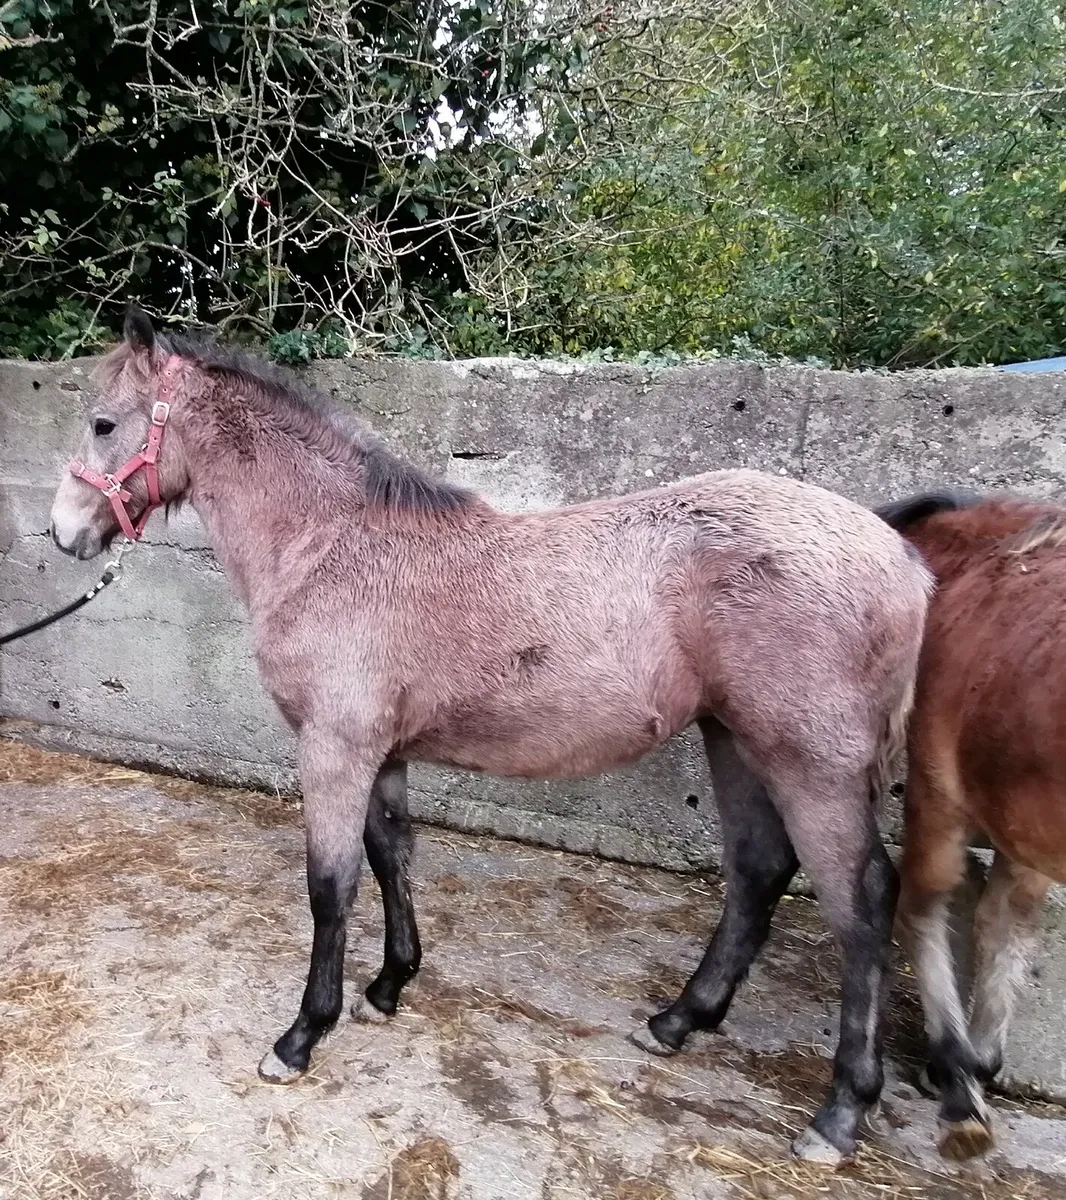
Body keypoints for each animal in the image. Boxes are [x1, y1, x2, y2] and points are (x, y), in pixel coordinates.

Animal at [48, 306, 931, 1165]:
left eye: (103, 423)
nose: (63, 534)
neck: (333, 542)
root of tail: (904, 558)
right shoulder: (381, 753)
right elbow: (391, 856)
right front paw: (389, 987)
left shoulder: (334, 748)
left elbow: (331, 887)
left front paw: (301, 1036)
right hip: (734, 740)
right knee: (757, 874)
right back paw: (677, 1022)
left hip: (810, 764)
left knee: (861, 902)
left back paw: (839, 1114)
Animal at [873, 491, 1066, 1160]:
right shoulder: (1022, 834)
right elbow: (1003, 926)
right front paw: (972, 1063)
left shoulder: (941, 797)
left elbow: (924, 910)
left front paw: (959, 1070)